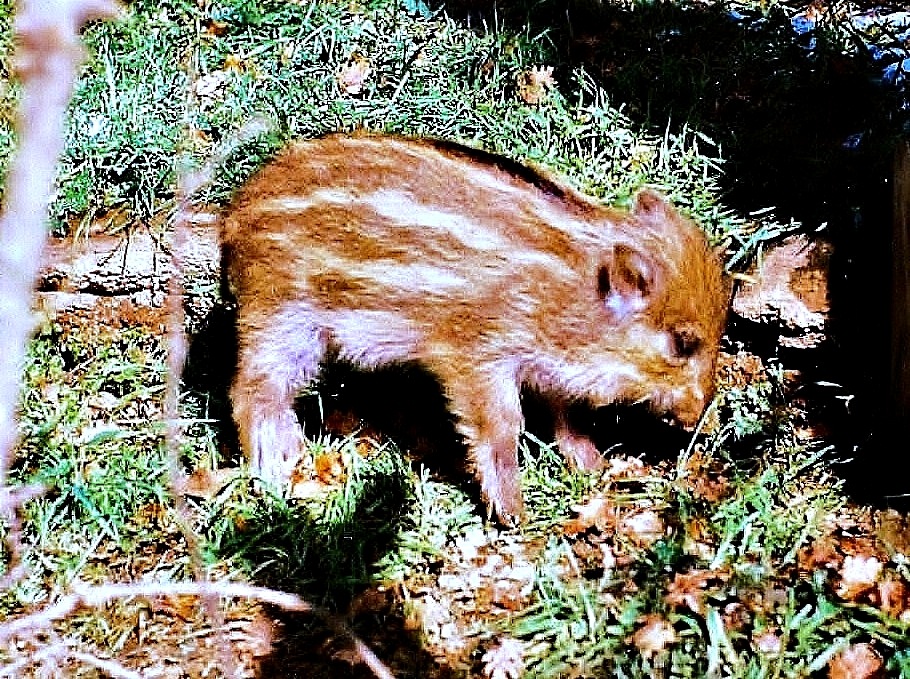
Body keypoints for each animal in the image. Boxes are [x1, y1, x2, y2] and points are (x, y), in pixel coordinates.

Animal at [220, 132, 728, 524]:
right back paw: (278, 471)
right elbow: (502, 427)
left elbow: (567, 414)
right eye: (682, 343)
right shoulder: (478, 355)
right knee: (253, 390)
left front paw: (593, 468)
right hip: (283, 316)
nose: (699, 418)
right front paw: (515, 517)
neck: (570, 292)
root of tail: (234, 216)